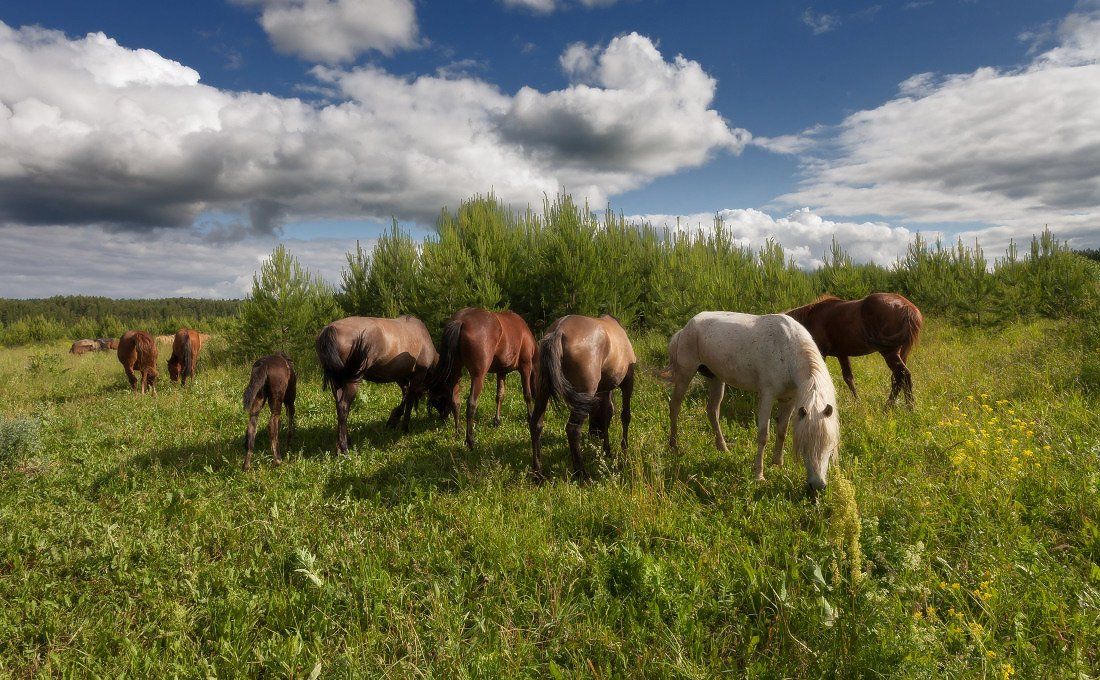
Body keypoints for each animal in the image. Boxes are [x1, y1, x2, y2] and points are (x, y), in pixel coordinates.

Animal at [314, 314, 437, 453]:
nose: (443, 417)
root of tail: (330, 330)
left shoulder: (400, 377)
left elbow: (406, 395)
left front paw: (393, 420)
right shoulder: (418, 375)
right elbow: (410, 399)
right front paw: (403, 427)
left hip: (337, 381)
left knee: (339, 408)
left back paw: (343, 442)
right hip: (352, 380)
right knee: (343, 407)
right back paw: (344, 448)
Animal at [424, 305, 536, 444]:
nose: (443, 417)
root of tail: (461, 320)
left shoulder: (501, 372)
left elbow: (500, 395)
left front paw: (497, 420)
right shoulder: (526, 366)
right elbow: (527, 394)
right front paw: (530, 417)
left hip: (456, 373)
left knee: (455, 400)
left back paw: (458, 430)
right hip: (478, 376)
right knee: (471, 403)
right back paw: (470, 440)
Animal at [530, 314, 642, 479]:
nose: (595, 433)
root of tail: (558, 331)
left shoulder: (603, 389)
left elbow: (607, 414)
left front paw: (607, 450)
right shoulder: (628, 381)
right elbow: (624, 415)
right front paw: (624, 448)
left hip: (543, 392)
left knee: (535, 424)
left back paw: (538, 474)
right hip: (585, 393)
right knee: (573, 429)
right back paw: (581, 473)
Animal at [660, 312, 840, 492]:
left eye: (830, 445)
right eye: (804, 446)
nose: (817, 486)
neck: (787, 351)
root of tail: (686, 328)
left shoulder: (790, 400)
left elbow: (782, 431)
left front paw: (777, 464)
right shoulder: (767, 396)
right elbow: (763, 435)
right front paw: (759, 476)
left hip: (716, 378)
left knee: (712, 411)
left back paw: (723, 448)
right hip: (685, 374)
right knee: (675, 406)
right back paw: (674, 446)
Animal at [787, 292, 924, 407]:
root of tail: (908, 308)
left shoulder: (822, 352)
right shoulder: (842, 354)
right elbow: (849, 378)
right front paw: (858, 402)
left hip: (890, 353)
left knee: (903, 375)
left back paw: (902, 407)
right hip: (902, 352)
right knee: (898, 379)